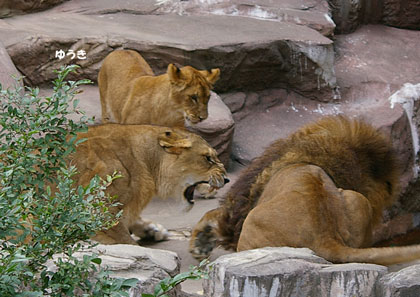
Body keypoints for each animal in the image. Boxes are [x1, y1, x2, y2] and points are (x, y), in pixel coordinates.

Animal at [189, 115, 420, 264]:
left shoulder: (239, 210)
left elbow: (214, 214)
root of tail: (325, 237)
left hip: (252, 221)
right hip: (356, 200)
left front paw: (199, 242)